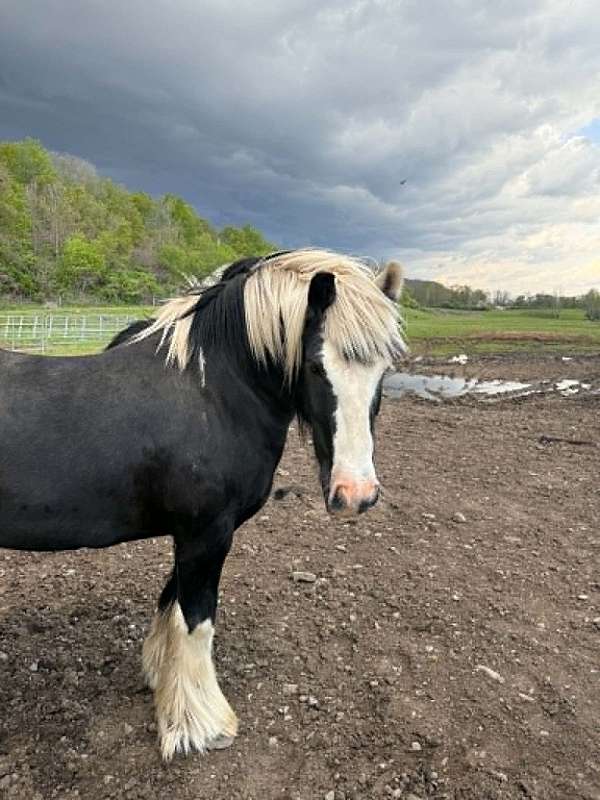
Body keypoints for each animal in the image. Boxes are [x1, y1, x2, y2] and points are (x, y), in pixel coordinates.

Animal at [0, 249, 405, 760]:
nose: (356, 495)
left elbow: (171, 602)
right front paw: (202, 725)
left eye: (384, 370)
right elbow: (197, 621)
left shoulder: (194, 534)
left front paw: (161, 679)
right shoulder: (206, 533)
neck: (212, 394)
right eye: (316, 366)